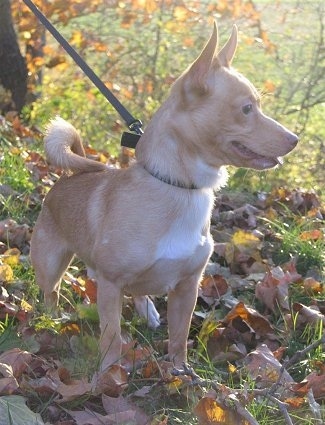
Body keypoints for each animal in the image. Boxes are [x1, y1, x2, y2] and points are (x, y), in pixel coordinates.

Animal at [30, 21, 296, 370]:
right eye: (247, 109)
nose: (295, 139)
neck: (179, 188)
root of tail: (68, 177)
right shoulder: (111, 284)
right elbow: (112, 336)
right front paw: (109, 374)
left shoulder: (187, 289)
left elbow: (179, 338)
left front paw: (180, 373)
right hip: (51, 267)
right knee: (51, 293)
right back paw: (50, 320)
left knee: (137, 292)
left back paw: (148, 310)